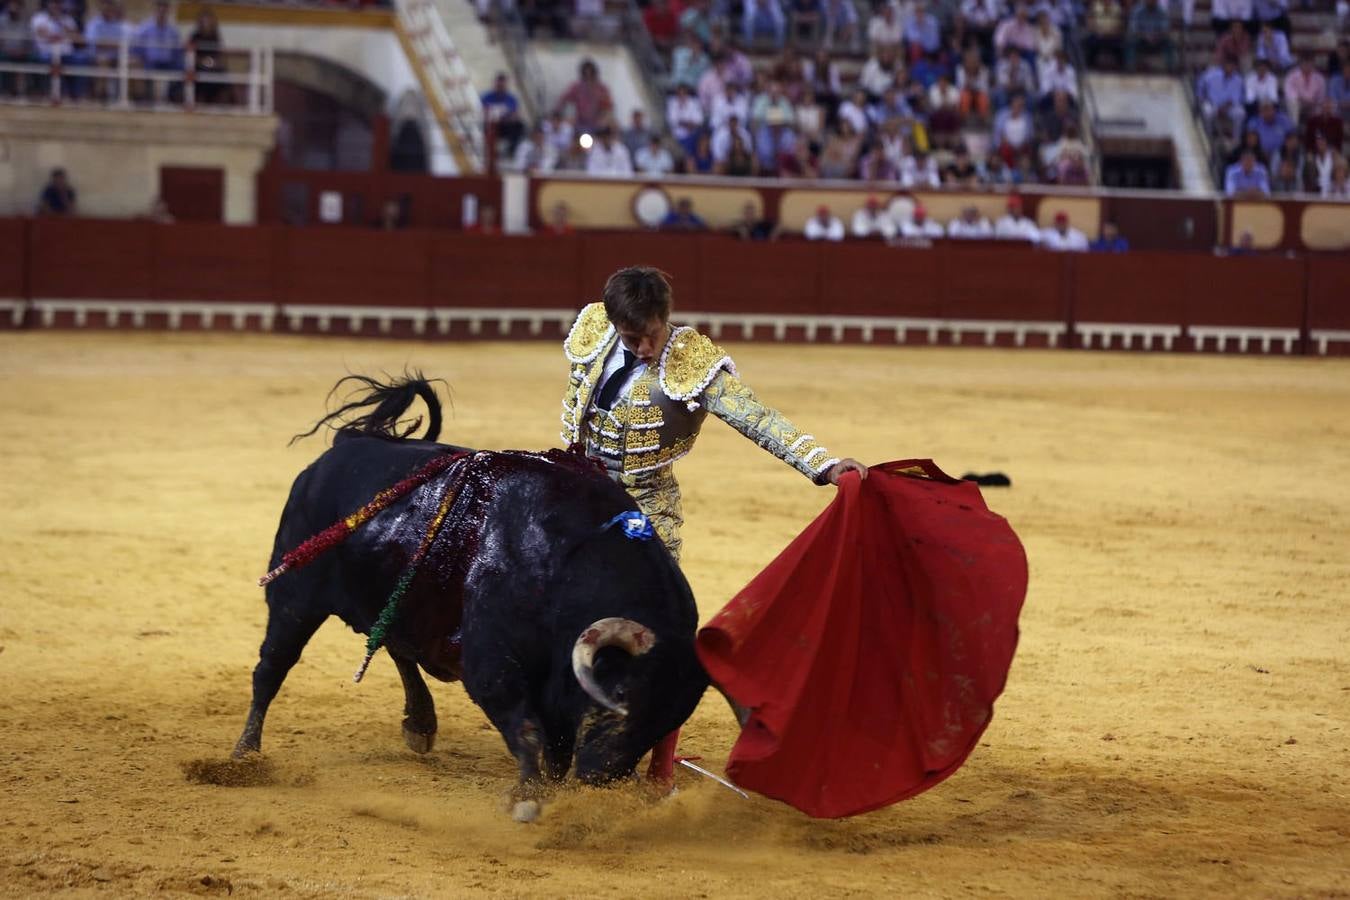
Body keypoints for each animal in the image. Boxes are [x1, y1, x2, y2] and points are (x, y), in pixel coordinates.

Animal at [234, 377, 707, 814]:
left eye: (665, 723)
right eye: (618, 700)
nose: (600, 779)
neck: (570, 560)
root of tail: (344, 447)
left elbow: (554, 748)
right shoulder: (493, 666)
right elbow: (528, 732)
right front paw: (527, 797)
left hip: (400, 599)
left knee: (394, 641)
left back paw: (420, 723)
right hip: (294, 597)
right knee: (272, 667)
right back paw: (244, 757)